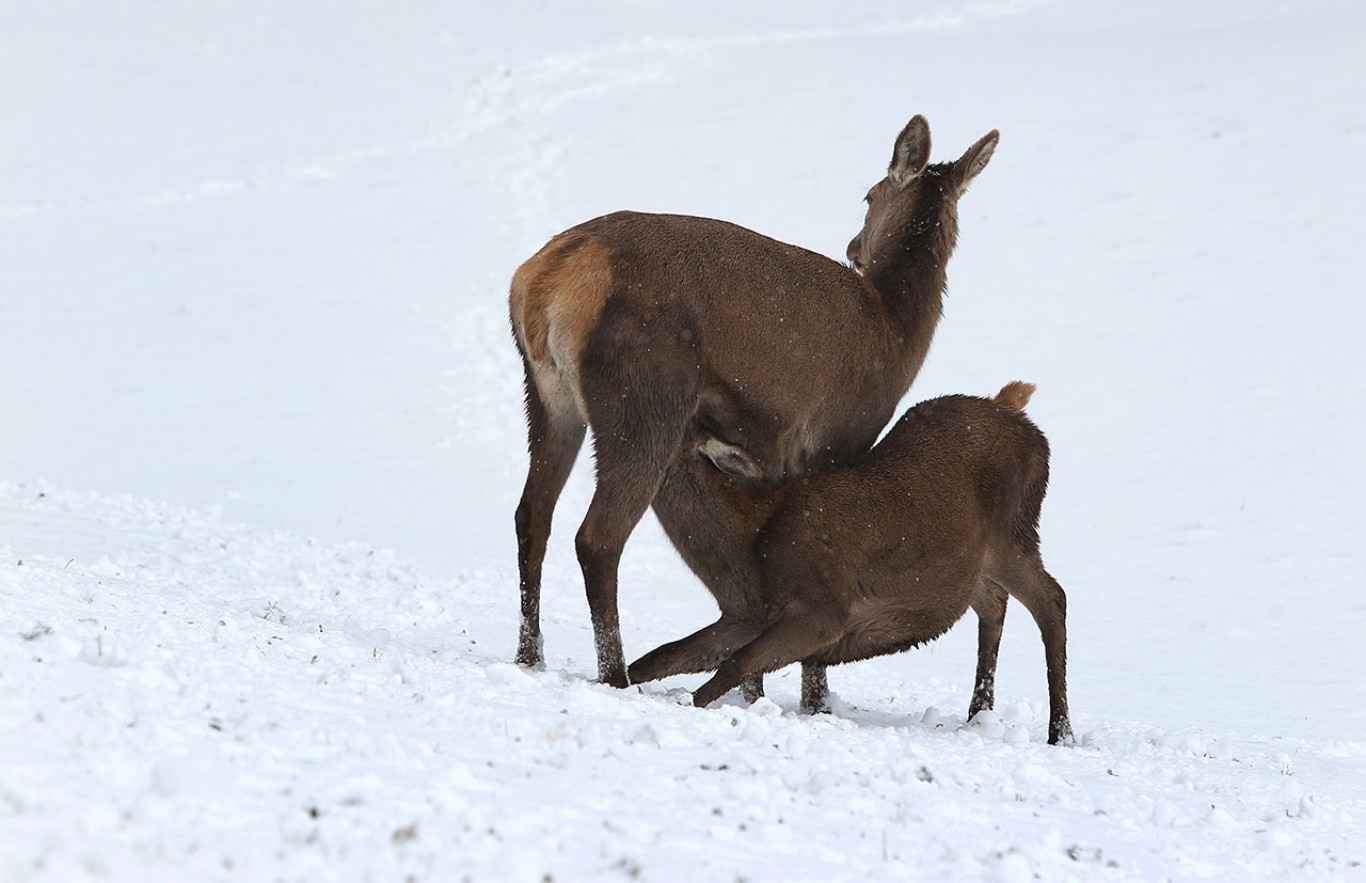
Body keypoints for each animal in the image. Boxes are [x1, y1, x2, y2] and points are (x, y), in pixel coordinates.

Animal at [508, 116, 999, 699]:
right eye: (869, 193)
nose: (854, 245)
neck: (897, 338)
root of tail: (547, 277)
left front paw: (755, 696)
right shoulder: (834, 440)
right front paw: (814, 701)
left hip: (549, 394)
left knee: (531, 514)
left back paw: (529, 656)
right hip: (644, 398)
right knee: (598, 536)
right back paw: (614, 676)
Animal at [633, 382, 1070, 749]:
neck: (747, 550)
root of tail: (1016, 412)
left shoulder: (823, 609)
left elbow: (735, 665)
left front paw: (692, 705)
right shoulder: (744, 615)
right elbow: (665, 655)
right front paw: (625, 682)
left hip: (1013, 531)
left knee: (1052, 599)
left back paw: (1060, 731)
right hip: (978, 563)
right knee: (994, 603)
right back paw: (979, 712)